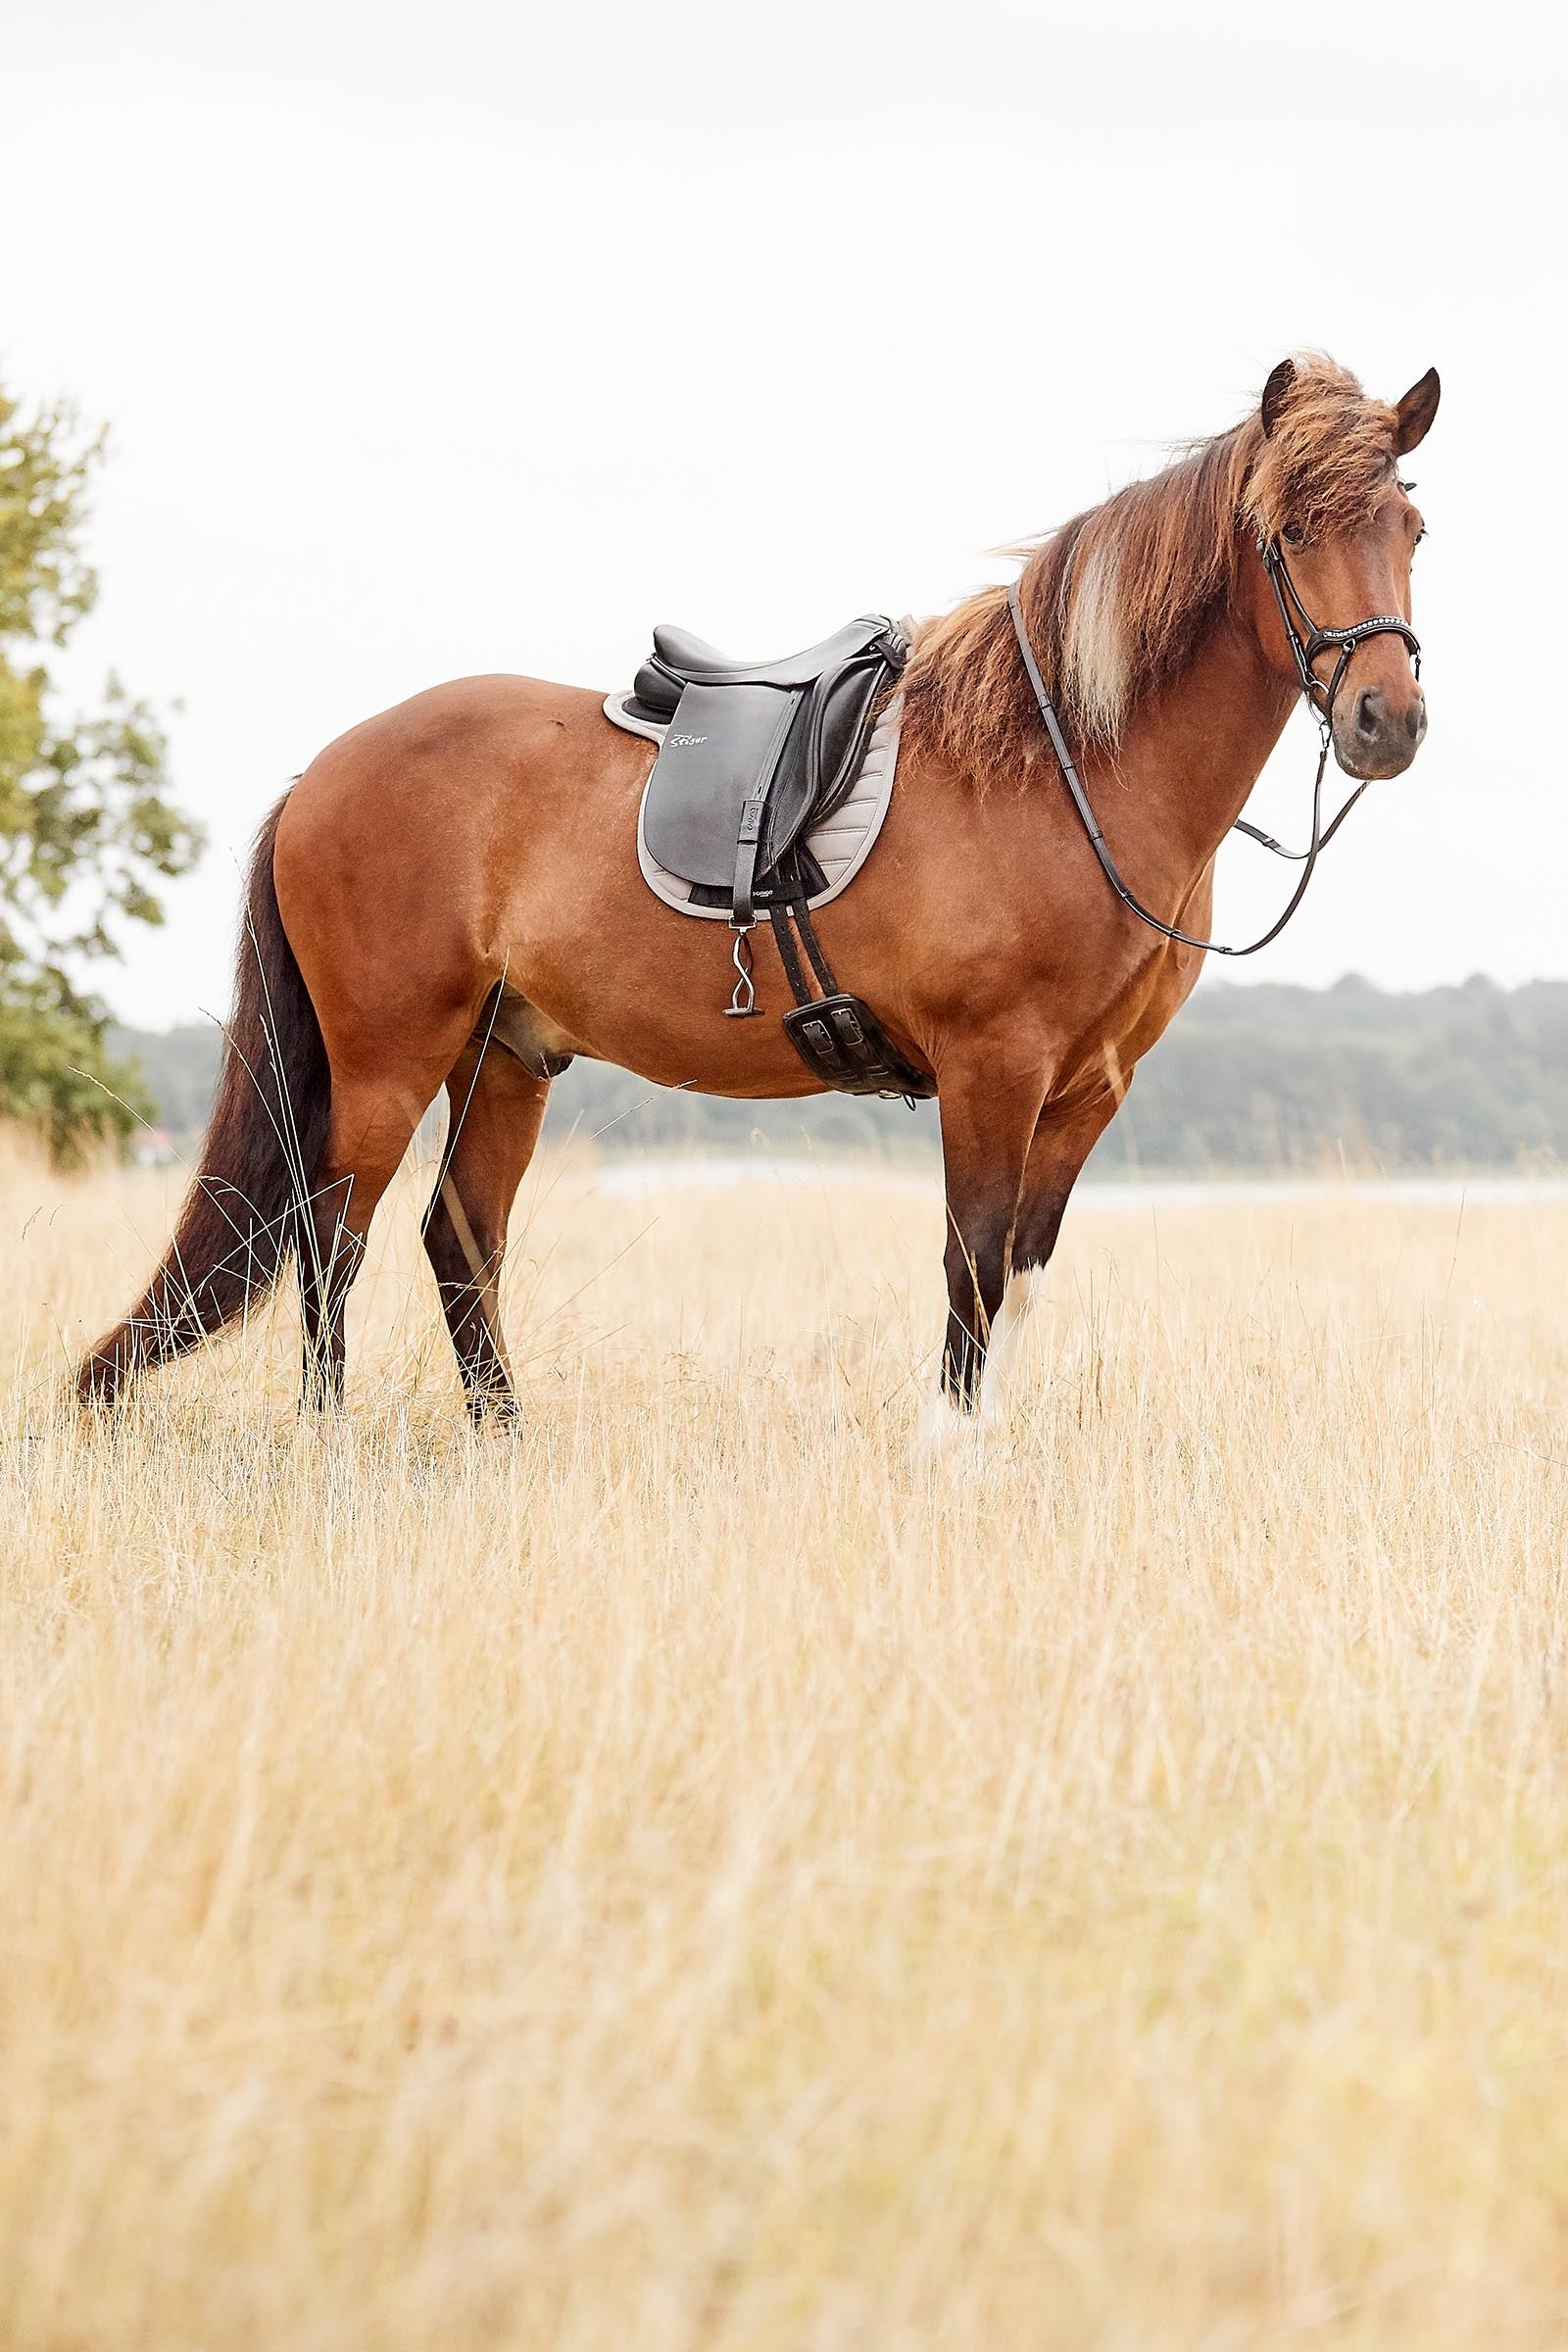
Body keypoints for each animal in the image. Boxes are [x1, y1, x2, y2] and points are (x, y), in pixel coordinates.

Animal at [76, 353, 1439, 1431]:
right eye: (1288, 533)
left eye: (1410, 532)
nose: (1388, 720)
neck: (1062, 766)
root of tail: (322, 773)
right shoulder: (992, 1070)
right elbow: (971, 1266)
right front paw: (945, 1461)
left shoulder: (1087, 1092)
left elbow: (1019, 1279)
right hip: (388, 1056)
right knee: (330, 1243)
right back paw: (332, 1452)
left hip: (504, 1055)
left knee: (457, 1242)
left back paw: (503, 1446)